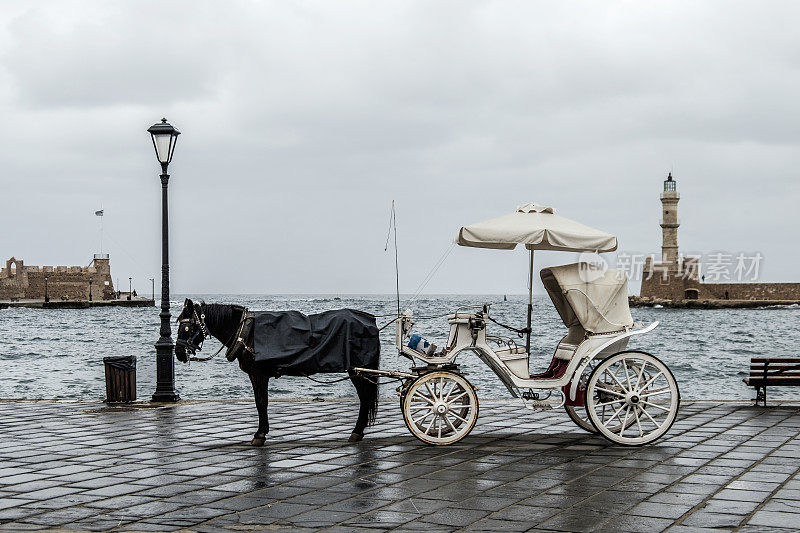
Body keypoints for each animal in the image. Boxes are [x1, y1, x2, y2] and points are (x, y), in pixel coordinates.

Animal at [173, 300, 380, 444]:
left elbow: (261, 402)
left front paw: (260, 433)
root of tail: (370, 321)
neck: (246, 332)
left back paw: (357, 431)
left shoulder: (258, 374)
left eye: (186, 326)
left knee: (365, 399)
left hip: (359, 371)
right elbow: (260, 402)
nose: (178, 353)